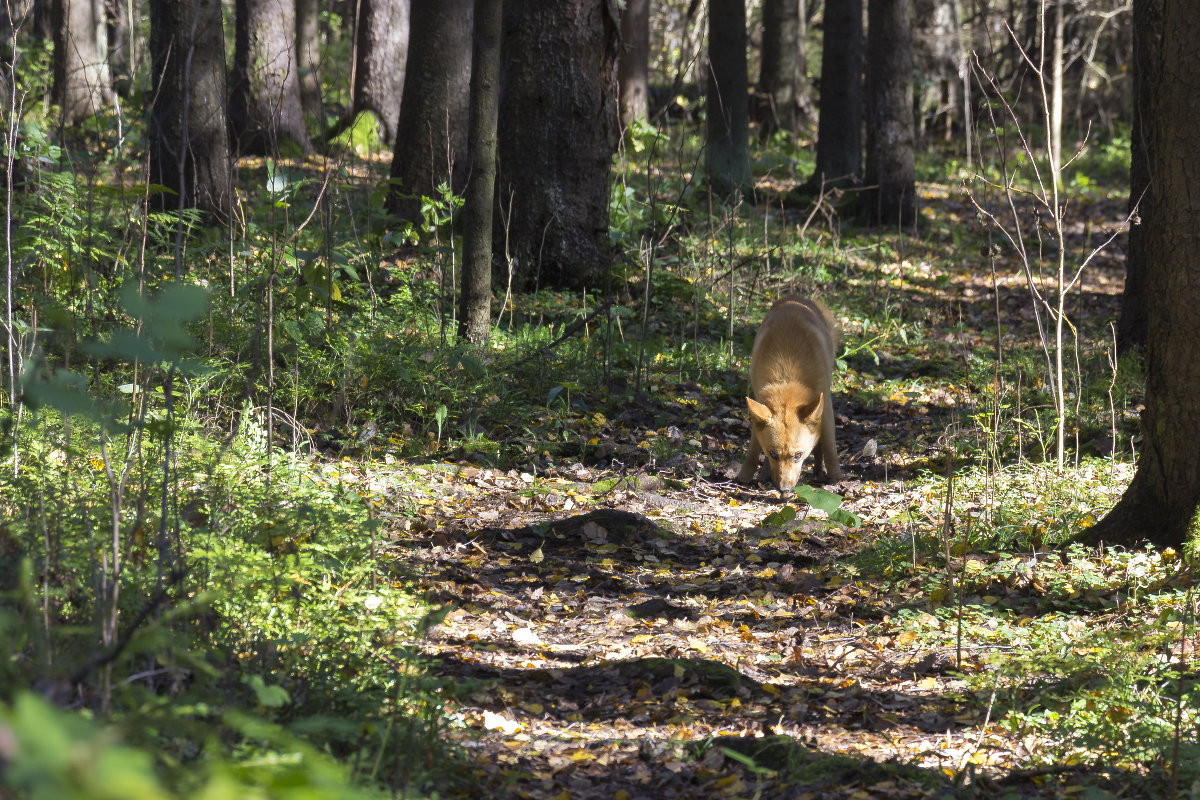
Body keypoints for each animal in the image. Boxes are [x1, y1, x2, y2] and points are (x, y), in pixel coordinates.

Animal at [734, 297, 840, 491]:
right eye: (773, 454)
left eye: (798, 455)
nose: (784, 490)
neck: (787, 375)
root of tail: (796, 298)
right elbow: (754, 448)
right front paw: (746, 475)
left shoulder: (826, 406)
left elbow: (829, 447)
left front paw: (837, 478)